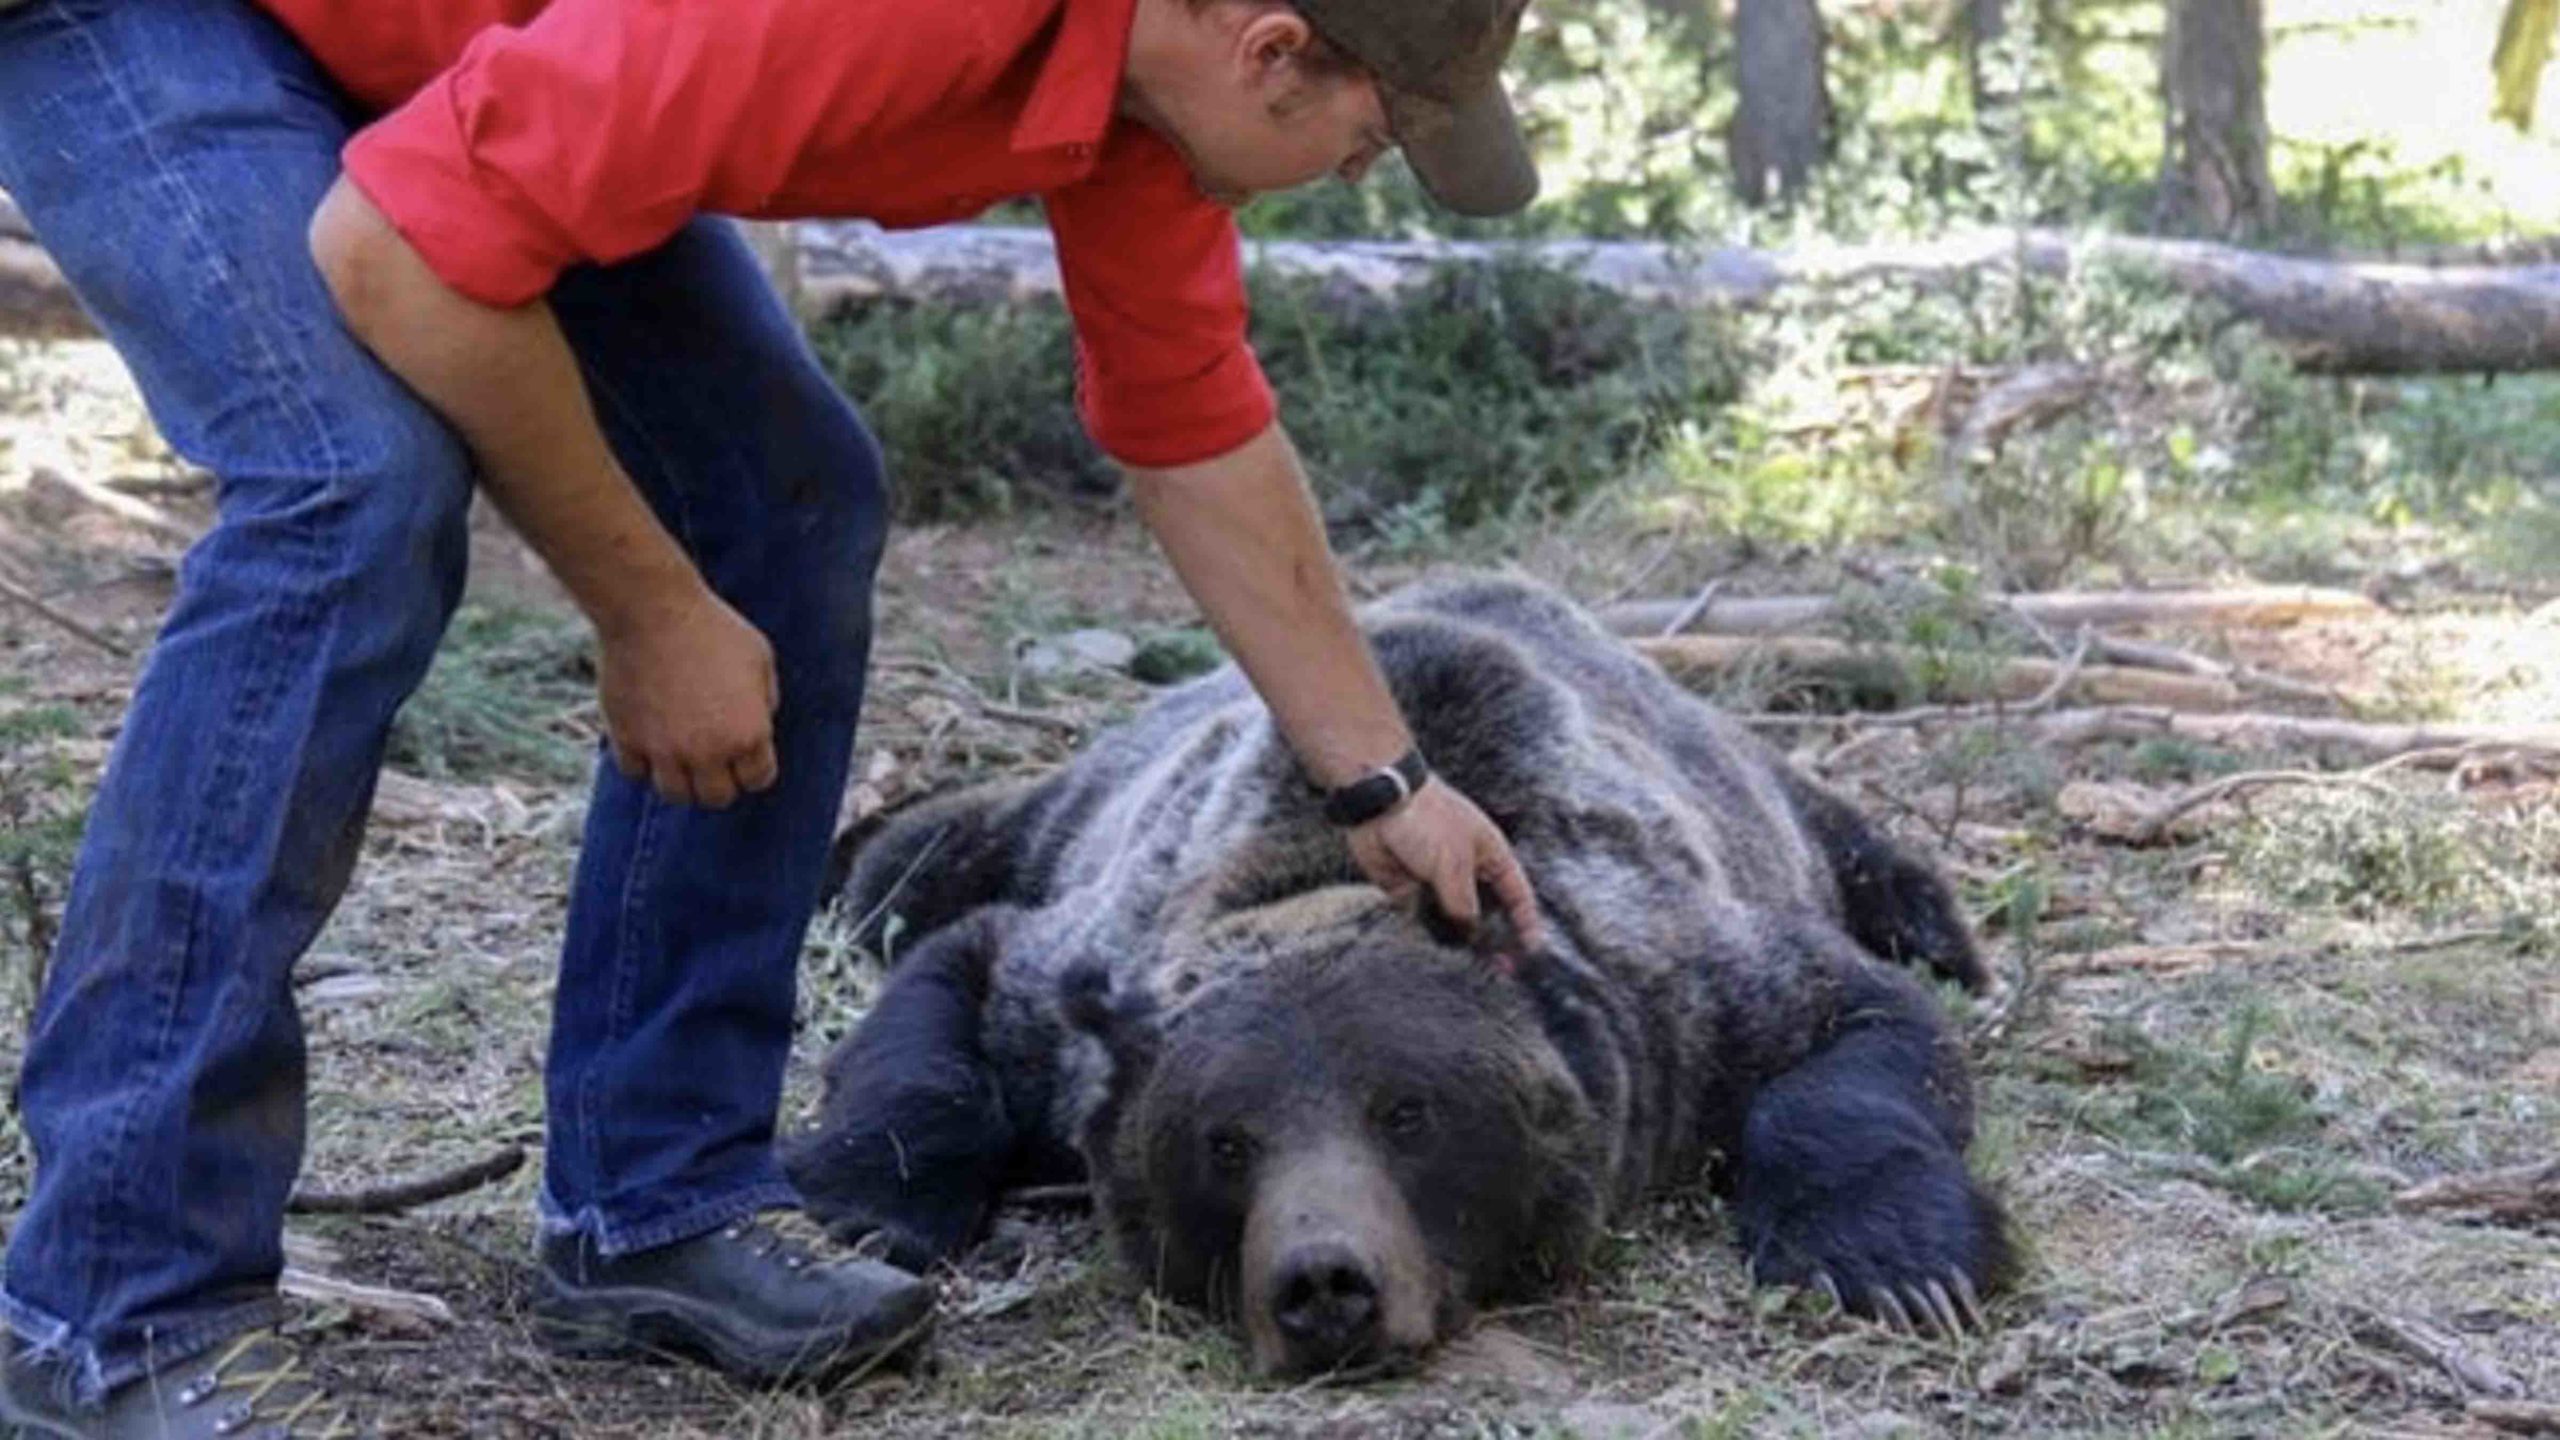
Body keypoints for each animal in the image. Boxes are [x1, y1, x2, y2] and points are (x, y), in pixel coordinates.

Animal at [785, 574, 2007, 1378]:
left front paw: (1902, 1265)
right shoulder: (1083, 971)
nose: (1324, 1284)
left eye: (1410, 1113)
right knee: (930, 858)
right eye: (1222, 1141)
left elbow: (1851, 1029)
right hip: (1089, 794)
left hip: (1750, 782)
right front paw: (852, 1210)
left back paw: (1941, 928)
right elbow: (958, 997)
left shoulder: (1683, 992)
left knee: (1864, 853)